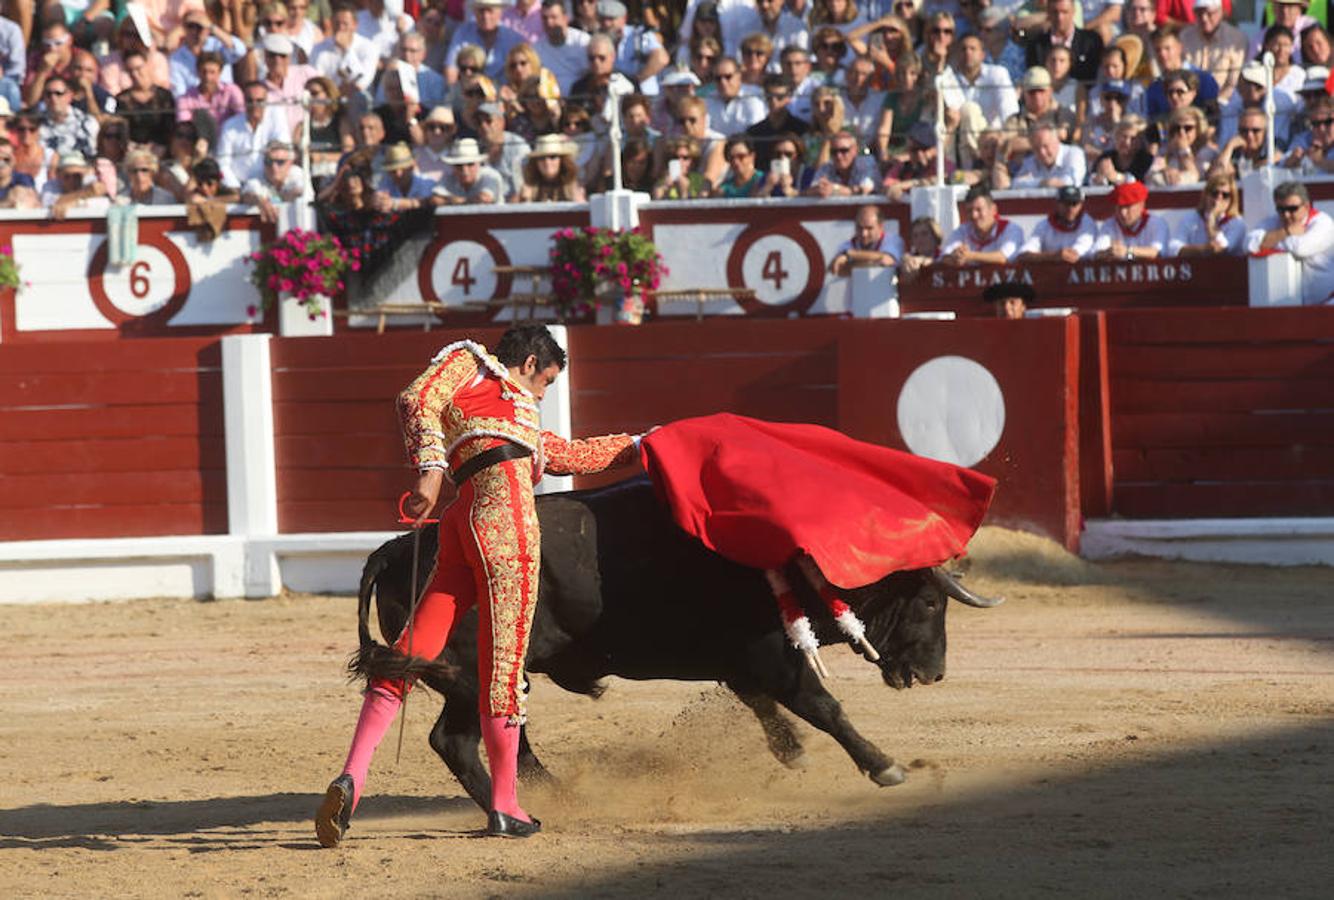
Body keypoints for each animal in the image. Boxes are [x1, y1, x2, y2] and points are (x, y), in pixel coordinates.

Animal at [357, 474, 1003, 805]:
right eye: (929, 601)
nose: (935, 672)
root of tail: (398, 548)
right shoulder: (770, 653)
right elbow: (822, 706)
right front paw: (885, 766)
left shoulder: (742, 661)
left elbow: (767, 706)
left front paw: (791, 752)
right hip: (473, 671)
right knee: (459, 740)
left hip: (480, 675)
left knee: (489, 733)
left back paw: (554, 794)